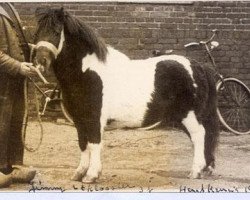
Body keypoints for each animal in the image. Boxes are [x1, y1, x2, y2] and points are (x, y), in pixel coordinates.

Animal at [32, 7, 218, 183]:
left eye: (57, 32)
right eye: (37, 32)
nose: (41, 61)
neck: (87, 72)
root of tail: (199, 66)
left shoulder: (94, 118)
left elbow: (94, 143)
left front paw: (91, 175)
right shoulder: (79, 119)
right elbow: (83, 143)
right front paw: (79, 173)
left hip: (190, 116)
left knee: (199, 136)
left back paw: (195, 171)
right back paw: (204, 169)